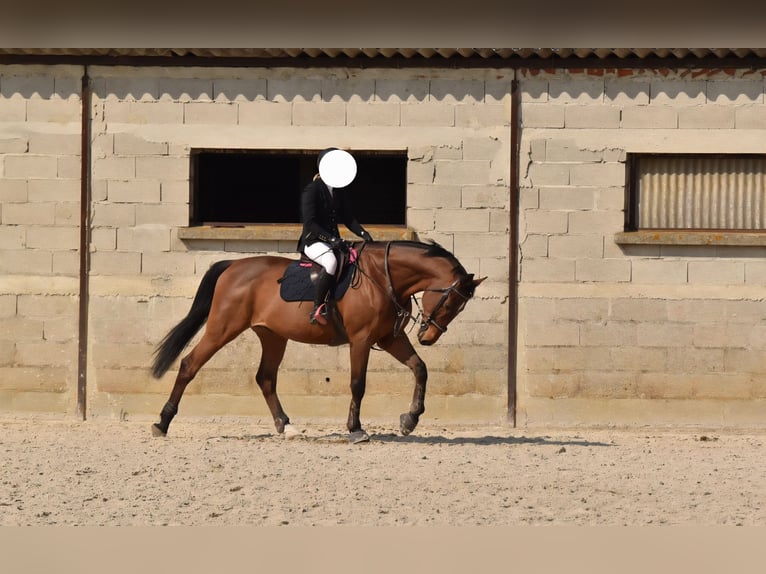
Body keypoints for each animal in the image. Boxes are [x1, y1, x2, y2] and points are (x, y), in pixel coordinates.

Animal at [150, 240, 485, 443]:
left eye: (459, 306)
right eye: (450, 301)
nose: (428, 337)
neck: (382, 278)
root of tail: (232, 265)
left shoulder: (390, 338)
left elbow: (420, 368)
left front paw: (410, 419)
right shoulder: (361, 340)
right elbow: (358, 384)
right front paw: (356, 429)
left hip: (273, 336)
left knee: (266, 378)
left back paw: (286, 426)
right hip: (222, 329)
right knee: (189, 365)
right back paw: (162, 423)